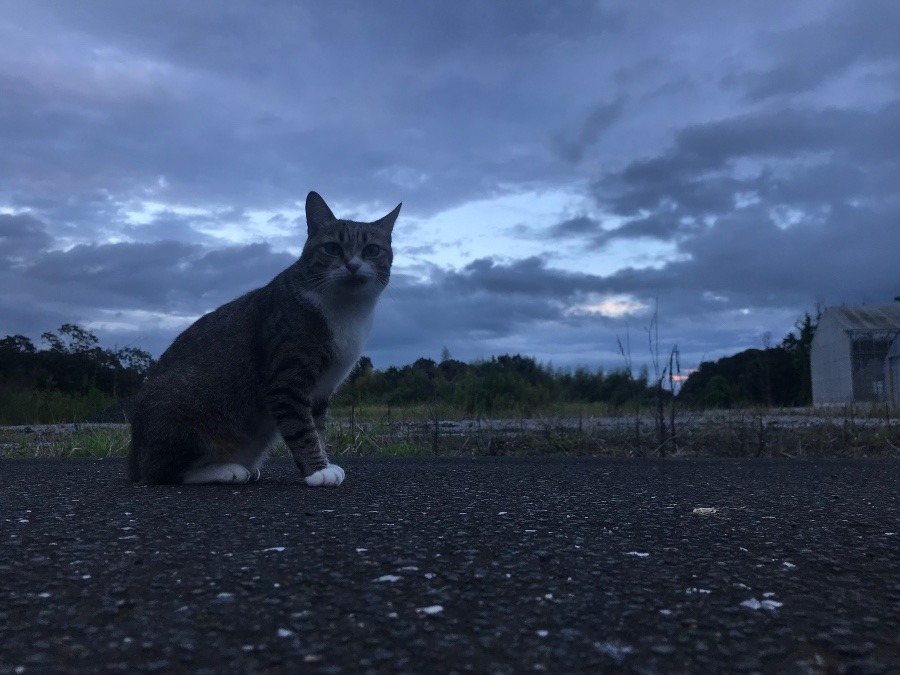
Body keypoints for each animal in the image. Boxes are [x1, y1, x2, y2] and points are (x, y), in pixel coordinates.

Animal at [126, 190, 398, 486]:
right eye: (333, 248)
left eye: (371, 250)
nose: (353, 265)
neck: (347, 311)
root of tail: (133, 459)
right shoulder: (286, 377)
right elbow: (302, 429)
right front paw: (317, 470)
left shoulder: (321, 390)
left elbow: (318, 429)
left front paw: (323, 462)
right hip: (182, 411)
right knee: (162, 472)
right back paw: (225, 470)